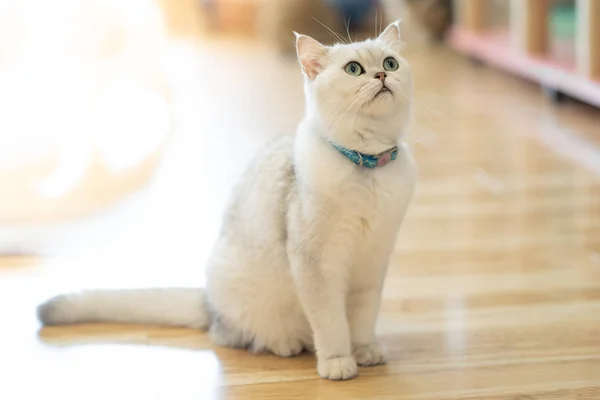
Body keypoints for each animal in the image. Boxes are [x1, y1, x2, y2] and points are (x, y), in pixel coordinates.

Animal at [35, 21, 414, 382]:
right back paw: (284, 343)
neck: (367, 167)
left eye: (390, 63)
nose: (381, 76)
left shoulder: (372, 262)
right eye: (354, 69)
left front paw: (364, 351)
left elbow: (362, 319)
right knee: (230, 334)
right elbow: (332, 323)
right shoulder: (317, 267)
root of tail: (209, 301)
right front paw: (338, 363)